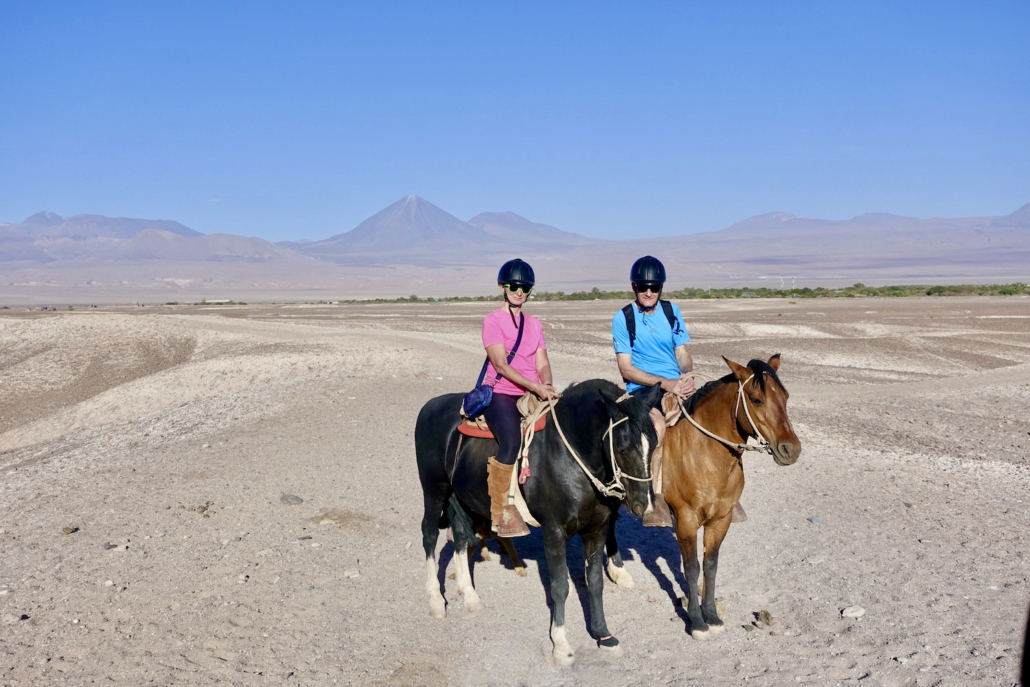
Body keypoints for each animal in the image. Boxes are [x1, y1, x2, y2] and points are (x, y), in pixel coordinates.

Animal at [415, 380, 661, 665]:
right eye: (622, 449)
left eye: (655, 445)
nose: (644, 505)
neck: (571, 457)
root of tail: (430, 406)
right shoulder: (554, 532)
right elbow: (559, 587)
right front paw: (561, 645)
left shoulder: (597, 530)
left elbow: (595, 582)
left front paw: (603, 634)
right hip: (434, 490)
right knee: (429, 536)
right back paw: (435, 599)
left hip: (463, 497)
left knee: (461, 538)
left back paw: (470, 595)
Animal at [605, 354, 802, 638]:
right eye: (756, 399)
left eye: (785, 396)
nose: (791, 449)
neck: (706, 454)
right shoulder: (686, 519)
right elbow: (692, 567)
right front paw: (697, 621)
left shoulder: (721, 519)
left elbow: (710, 565)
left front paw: (713, 615)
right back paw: (617, 572)